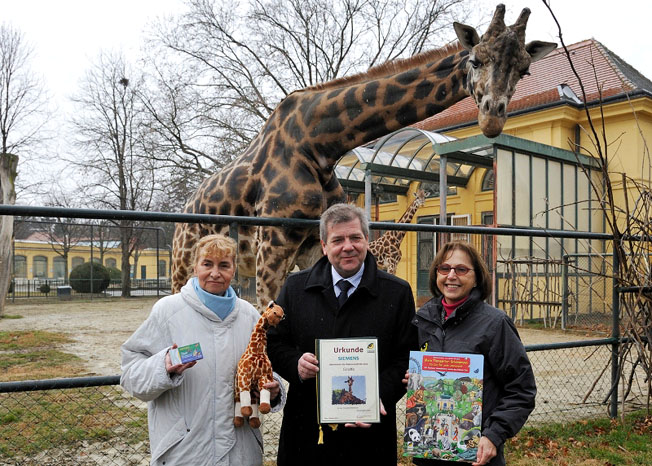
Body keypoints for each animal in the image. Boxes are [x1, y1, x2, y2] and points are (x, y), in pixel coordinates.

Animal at [172, 5, 556, 310]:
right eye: (476, 60)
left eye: (524, 70)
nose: (492, 119)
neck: (319, 147)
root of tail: (185, 207)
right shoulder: (274, 246)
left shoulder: (312, 247)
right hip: (183, 258)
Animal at [236, 300, 284, 428]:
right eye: (274, 312)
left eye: (282, 316)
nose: (273, 322)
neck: (257, 351)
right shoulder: (244, 377)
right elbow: (244, 394)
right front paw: (245, 410)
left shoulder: (264, 376)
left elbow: (265, 392)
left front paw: (265, 408)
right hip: (237, 387)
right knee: (238, 400)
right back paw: (238, 420)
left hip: (253, 390)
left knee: (253, 401)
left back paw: (254, 421)